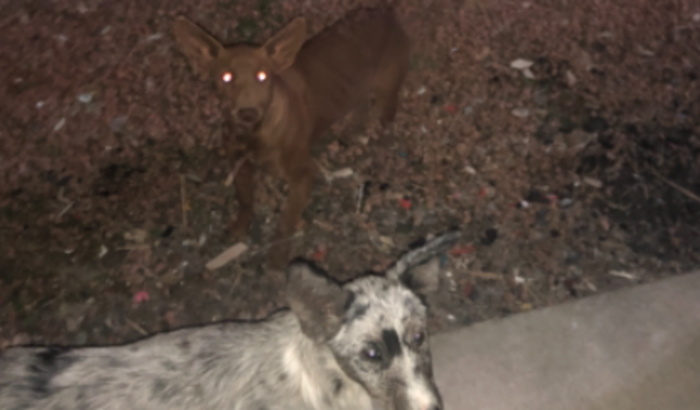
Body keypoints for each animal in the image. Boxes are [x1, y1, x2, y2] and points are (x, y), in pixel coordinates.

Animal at [172, 6, 410, 270]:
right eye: (226, 77)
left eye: (263, 75)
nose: (247, 112)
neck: (254, 134)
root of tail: (383, 11)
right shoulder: (238, 163)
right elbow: (244, 198)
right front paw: (240, 227)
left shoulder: (304, 172)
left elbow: (285, 221)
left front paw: (277, 257)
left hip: (386, 91)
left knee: (386, 116)